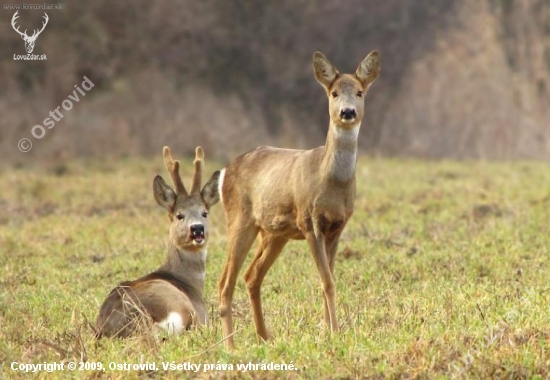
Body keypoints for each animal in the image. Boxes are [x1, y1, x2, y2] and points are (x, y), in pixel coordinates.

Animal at [96, 145, 221, 338]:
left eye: (204, 213)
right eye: (179, 215)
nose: (197, 229)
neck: (188, 282)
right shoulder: (202, 315)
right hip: (179, 306)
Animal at [218, 49, 382, 348]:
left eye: (360, 92)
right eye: (334, 93)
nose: (347, 112)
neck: (331, 181)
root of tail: (224, 172)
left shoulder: (338, 227)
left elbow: (328, 279)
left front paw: (328, 331)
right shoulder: (309, 222)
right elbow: (327, 282)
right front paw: (335, 332)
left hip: (274, 233)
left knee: (251, 275)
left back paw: (264, 336)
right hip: (240, 219)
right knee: (225, 282)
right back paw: (231, 346)